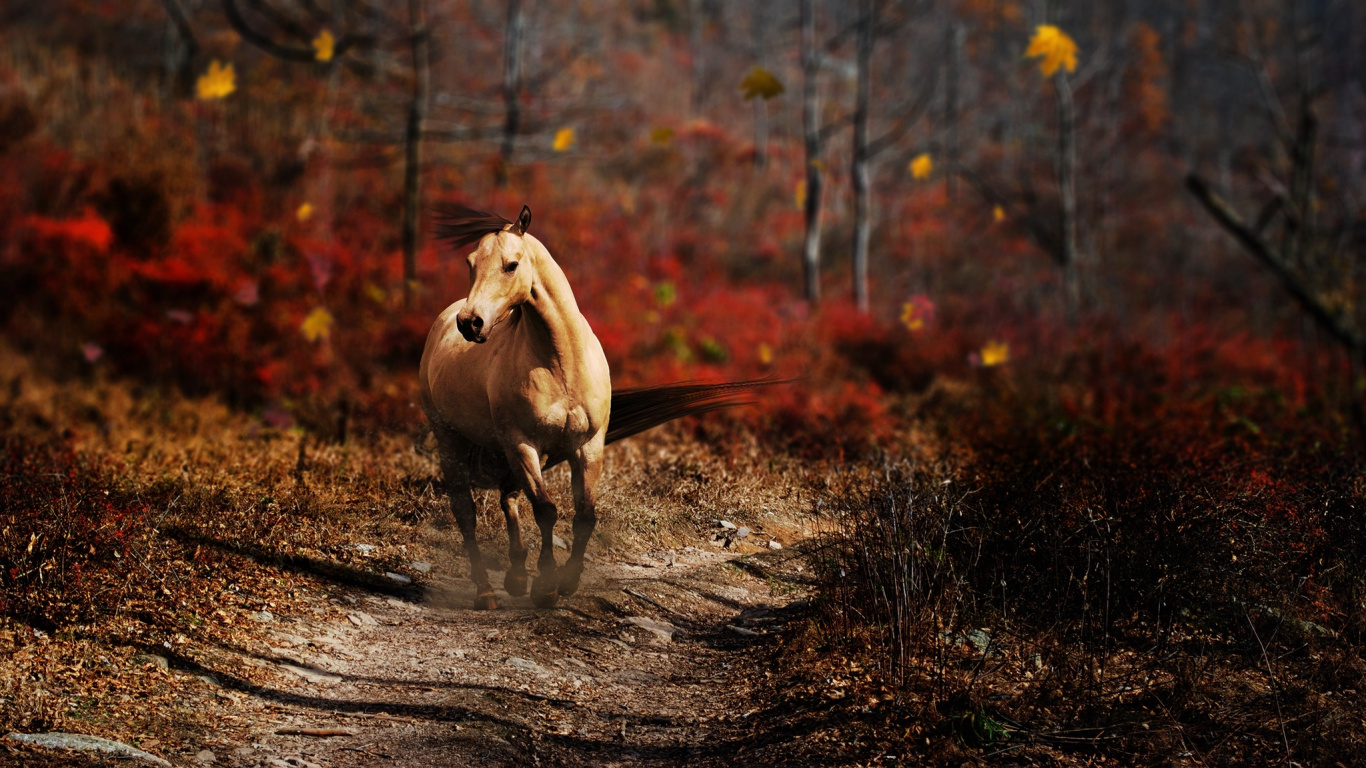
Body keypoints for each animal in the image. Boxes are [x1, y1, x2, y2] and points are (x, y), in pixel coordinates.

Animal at [421, 203, 773, 610]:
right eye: (470, 263)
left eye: (511, 264)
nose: (470, 323)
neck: (561, 362)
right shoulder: (524, 443)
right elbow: (546, 510)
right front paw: (547, 586)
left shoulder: (587, 445)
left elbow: (585, 515)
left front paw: (567, 581)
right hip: (456, 439)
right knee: (466, 512)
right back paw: (487, 592)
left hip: (505, 448)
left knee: (508, 499)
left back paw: (516, 578)